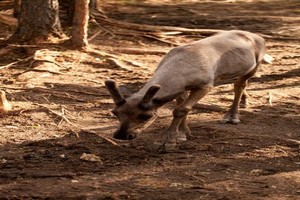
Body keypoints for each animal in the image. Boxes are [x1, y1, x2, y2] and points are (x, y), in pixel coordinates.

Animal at [105, 30, 272, 152]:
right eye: (115, 112)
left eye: (146, 116)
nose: (122, 135)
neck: (179, 70)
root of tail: (259, 37)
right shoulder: (181, 88)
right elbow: (182, 106)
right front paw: (183, 134)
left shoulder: (206, 85)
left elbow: (181, 109)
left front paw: (168, 142)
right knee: (239, 82)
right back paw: (244, 101)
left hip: (256, 64)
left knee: (240, 84)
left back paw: (232, 116)